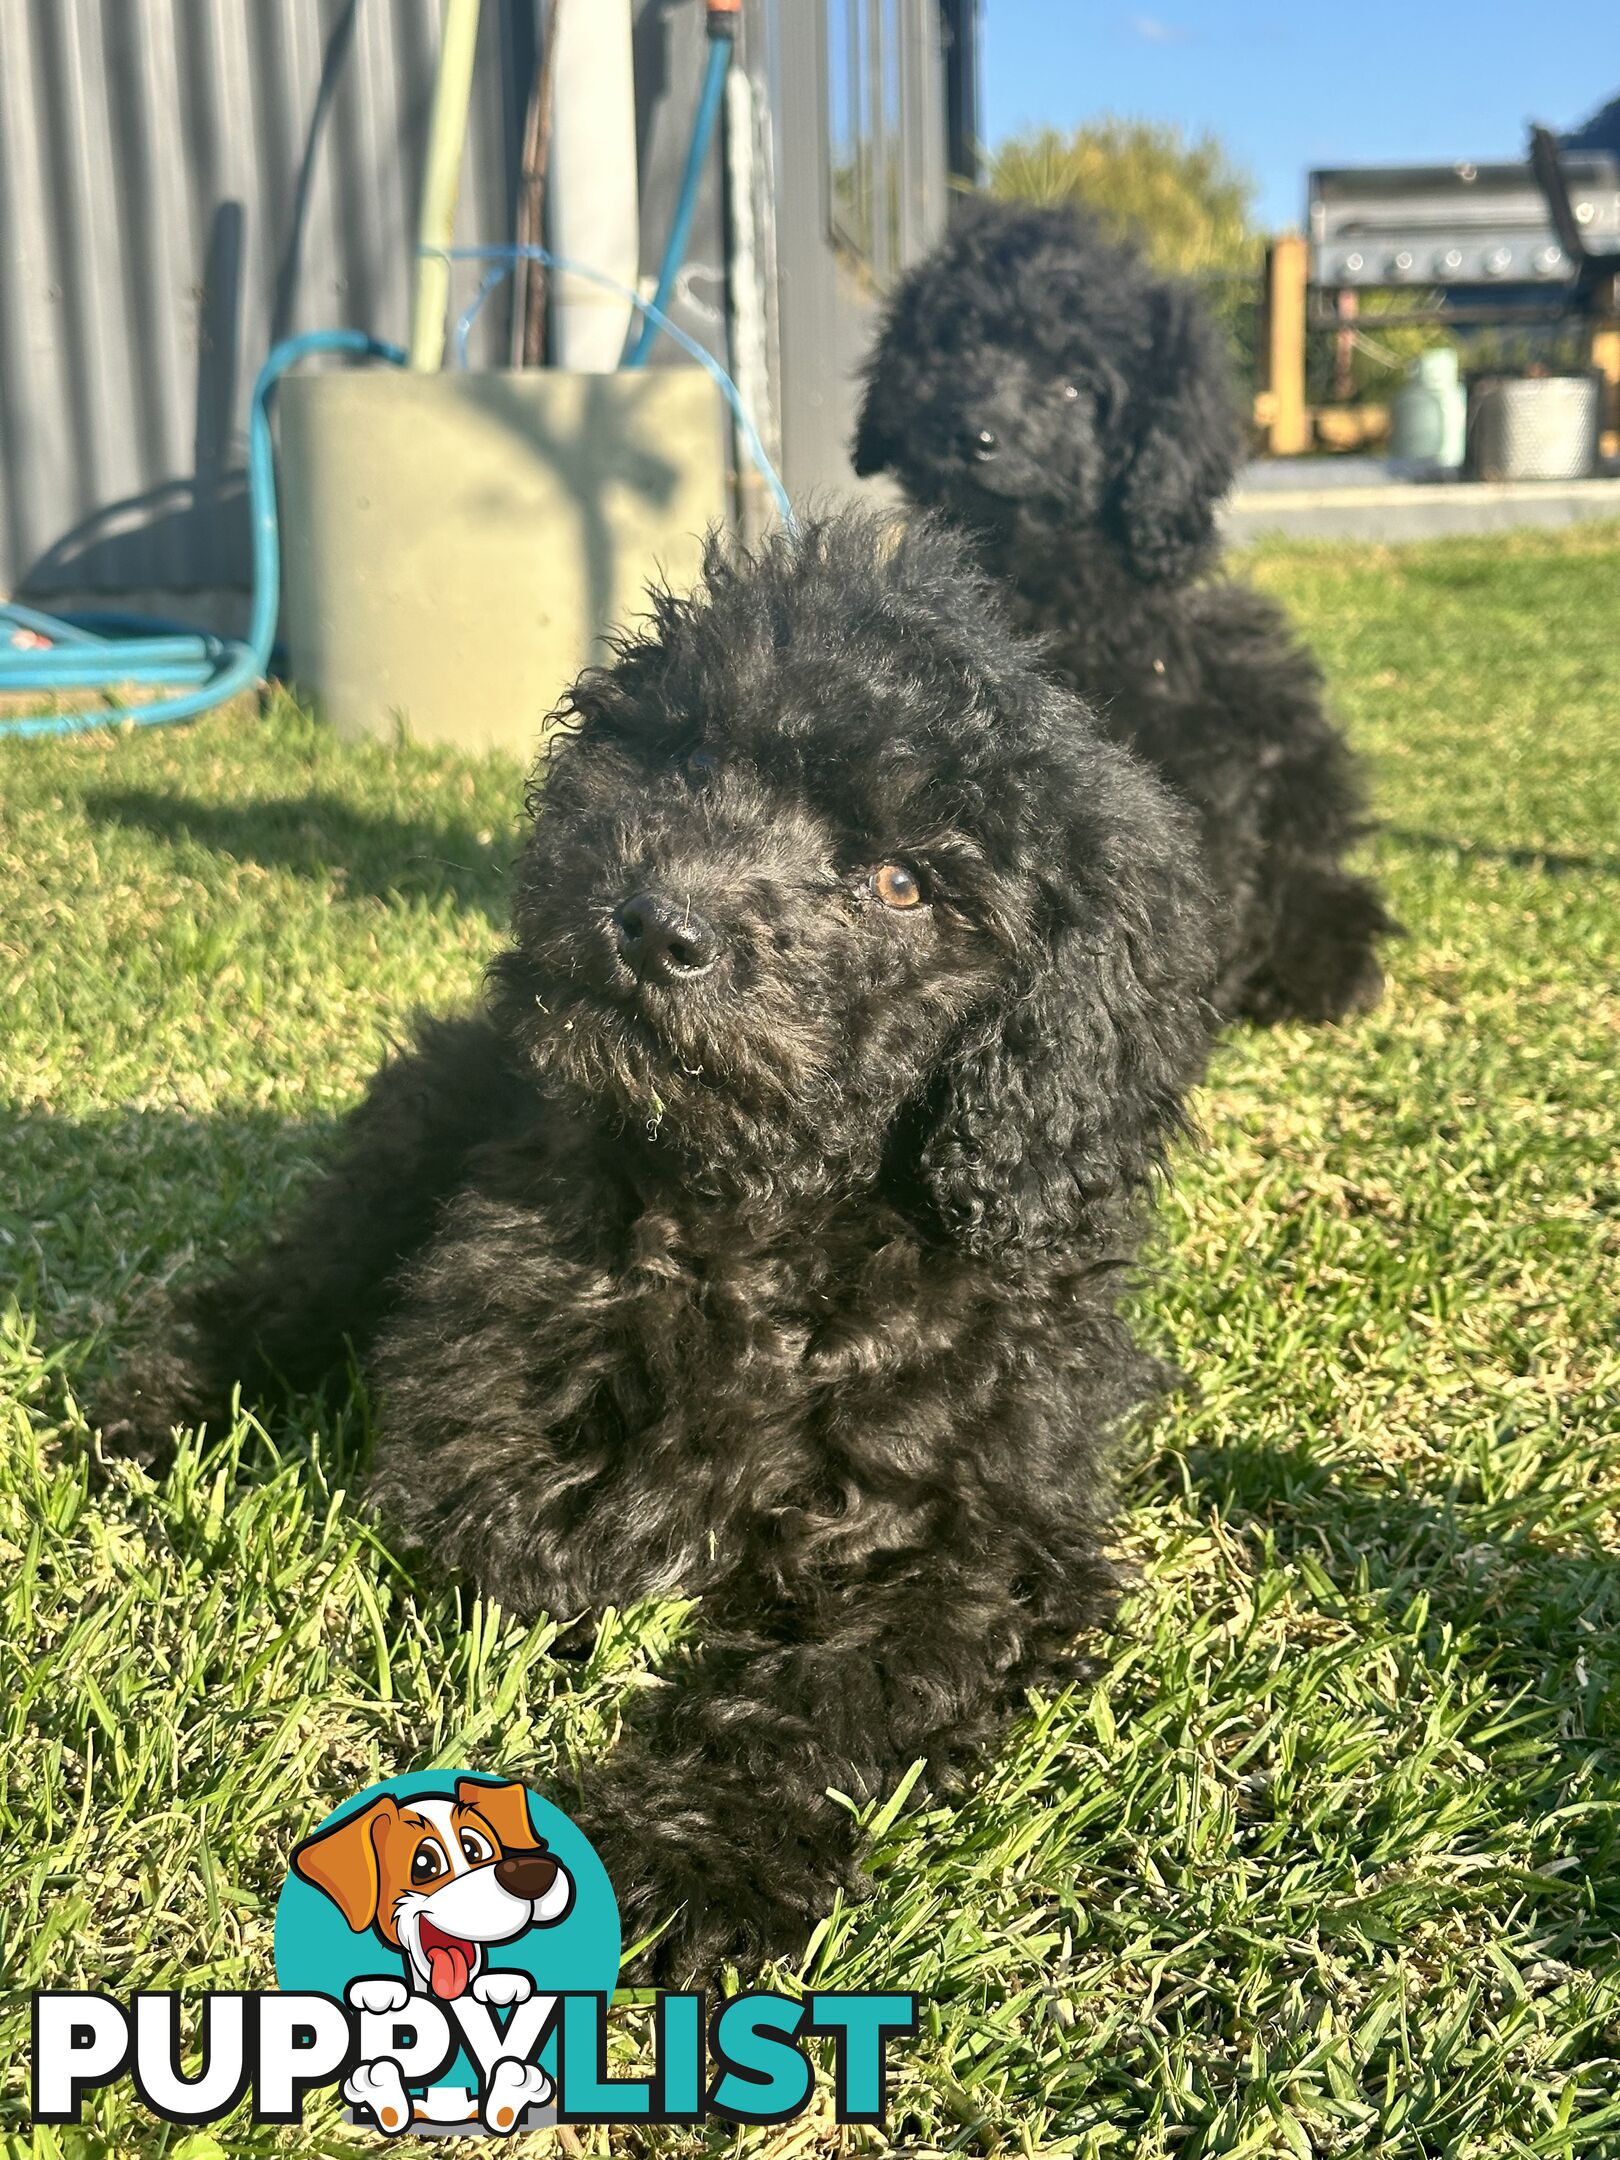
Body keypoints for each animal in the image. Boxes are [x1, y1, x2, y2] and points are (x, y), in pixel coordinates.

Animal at [101, 514, 1218, 1978]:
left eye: (904, 883)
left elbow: (842, 1685)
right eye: (690, 759)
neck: (760, 1212)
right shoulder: (491, 1362)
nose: (653, 925)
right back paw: (155, 1409)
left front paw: (702, 1854)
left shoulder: (986, 1532)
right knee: (282, 1291)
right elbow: (528, 1530)